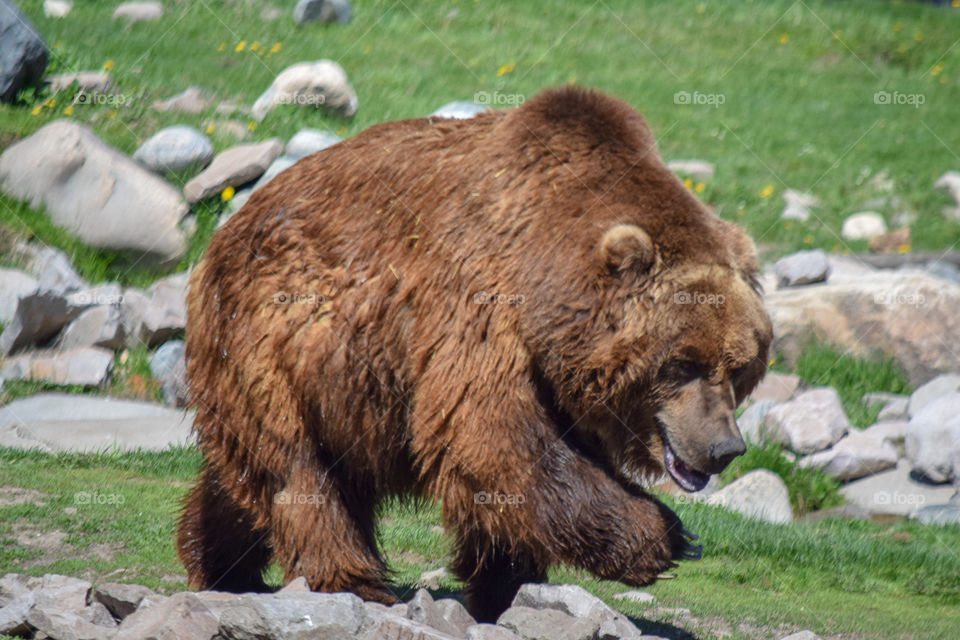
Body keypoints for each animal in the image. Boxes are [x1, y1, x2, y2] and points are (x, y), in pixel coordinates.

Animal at [177, 86, 772, 622]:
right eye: (683, 363)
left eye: (739, 366)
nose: (724, 447)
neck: (548, 276)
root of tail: (226, 228)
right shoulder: (481, 310)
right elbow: (494, 438)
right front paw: (666, 537)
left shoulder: (551, 371)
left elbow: (509, 475)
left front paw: (505, 583)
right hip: (274, 340)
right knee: (300, 472)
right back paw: (353, 581)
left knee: (248, 474)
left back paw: (218, 562)